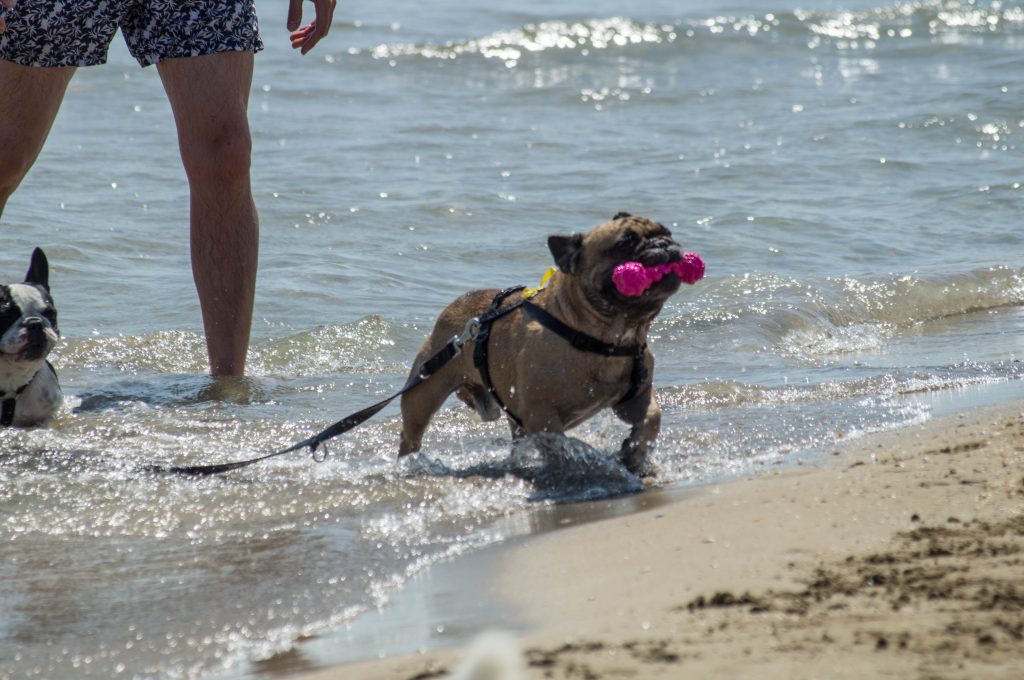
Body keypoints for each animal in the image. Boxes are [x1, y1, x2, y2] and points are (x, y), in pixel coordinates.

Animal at [399, 215, 688, 475]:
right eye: (625, 242)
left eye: (667, 232)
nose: (663, 244)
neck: (603, 338)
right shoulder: (541, 414)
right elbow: (559, 444)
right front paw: (576, 463)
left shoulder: (636, 398)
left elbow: (652, 417)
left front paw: (634, 453)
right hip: (423, 394)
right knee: (411, 436)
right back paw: (408, 465)